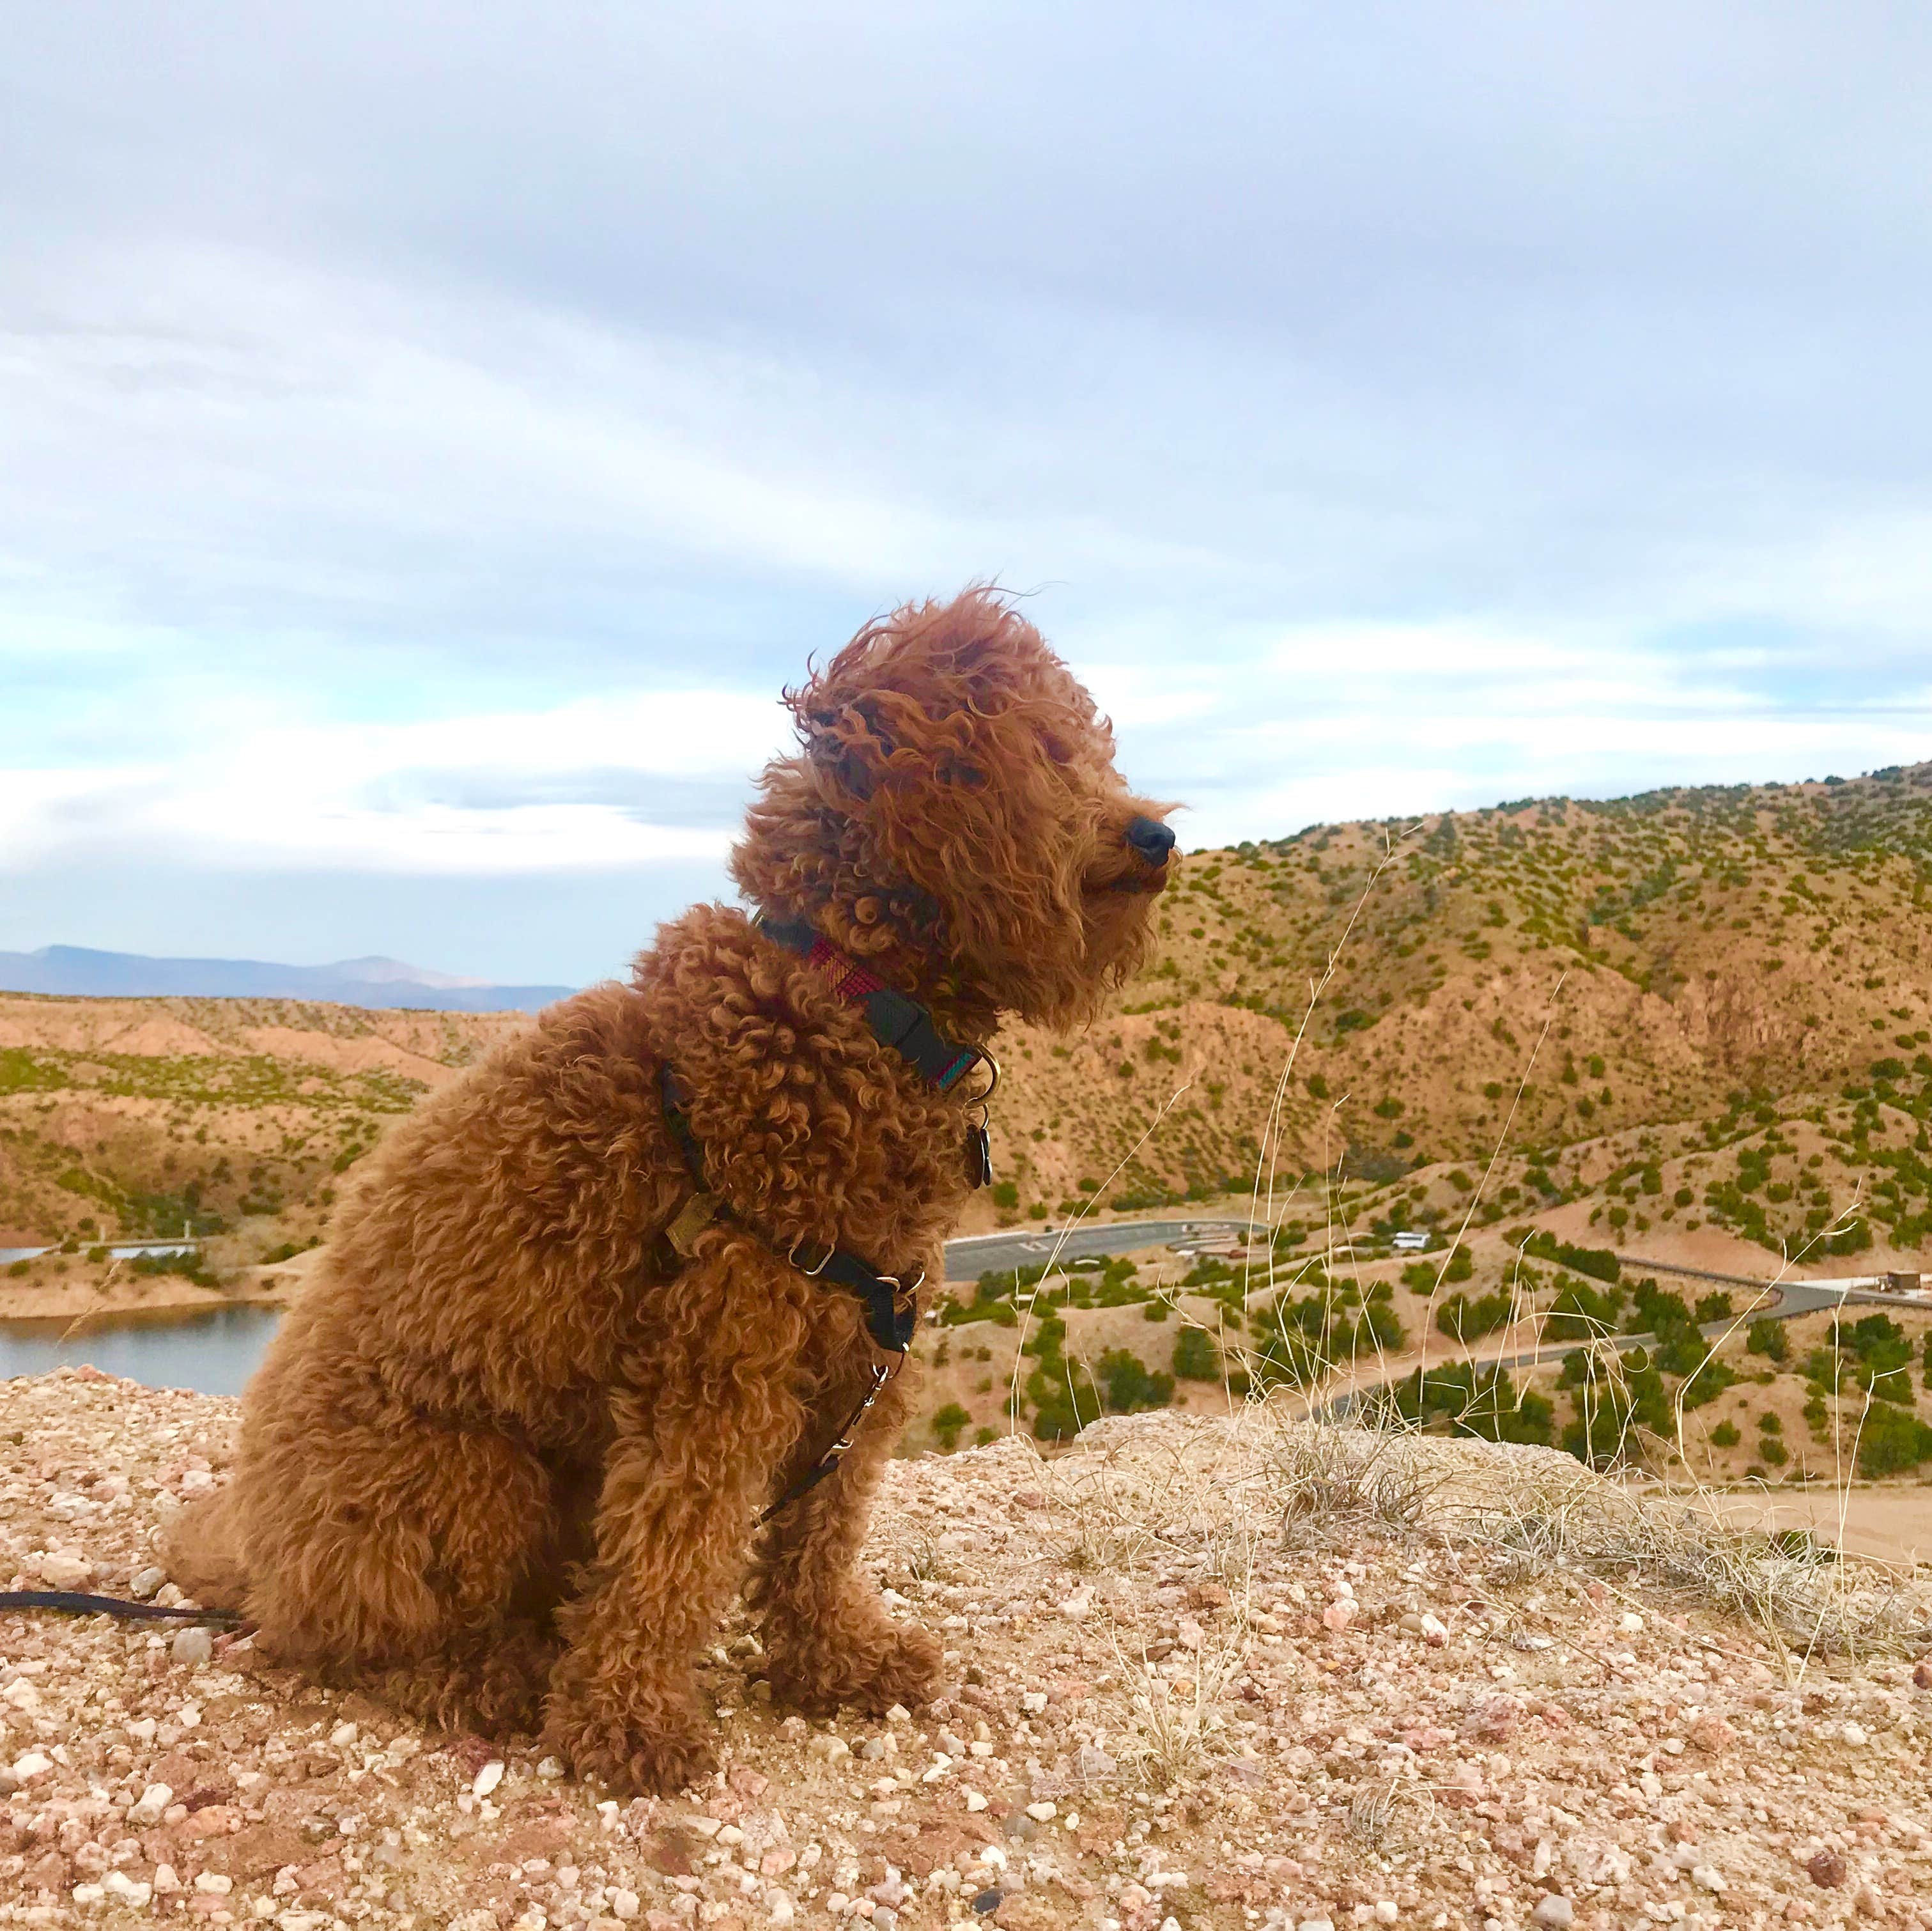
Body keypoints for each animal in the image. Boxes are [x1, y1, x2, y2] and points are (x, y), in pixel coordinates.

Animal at [162, 587, 1174, 1794]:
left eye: (1090, 744)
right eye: (1031, 754)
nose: (1156, 835)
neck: (844, 1002)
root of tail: (264, 1556)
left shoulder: (863, 1349)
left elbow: (819, 1532)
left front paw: (830, 1661)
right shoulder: (719, 1350)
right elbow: (672, 1550)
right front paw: (627, 1723)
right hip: (470, 1481)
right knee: (355, 1641)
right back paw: (485, 1674)